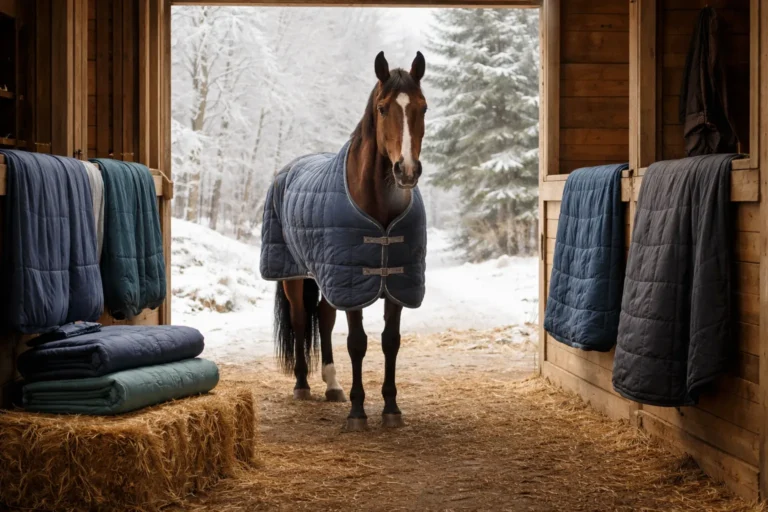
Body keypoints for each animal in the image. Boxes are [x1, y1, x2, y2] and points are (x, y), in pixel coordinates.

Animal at [261, 51, 428, 431]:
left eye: (423, 107)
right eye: (382, 108)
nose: (406, 170)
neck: (380, 209)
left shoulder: (395, 283)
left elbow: (390, 341)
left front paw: (391, 408)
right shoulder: (353, 283)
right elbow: (357, 342)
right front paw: (358, 412)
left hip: (327, 278)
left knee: (323, 317)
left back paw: (332, 384)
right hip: (296, 276)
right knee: (299, 320)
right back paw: (303, 384)